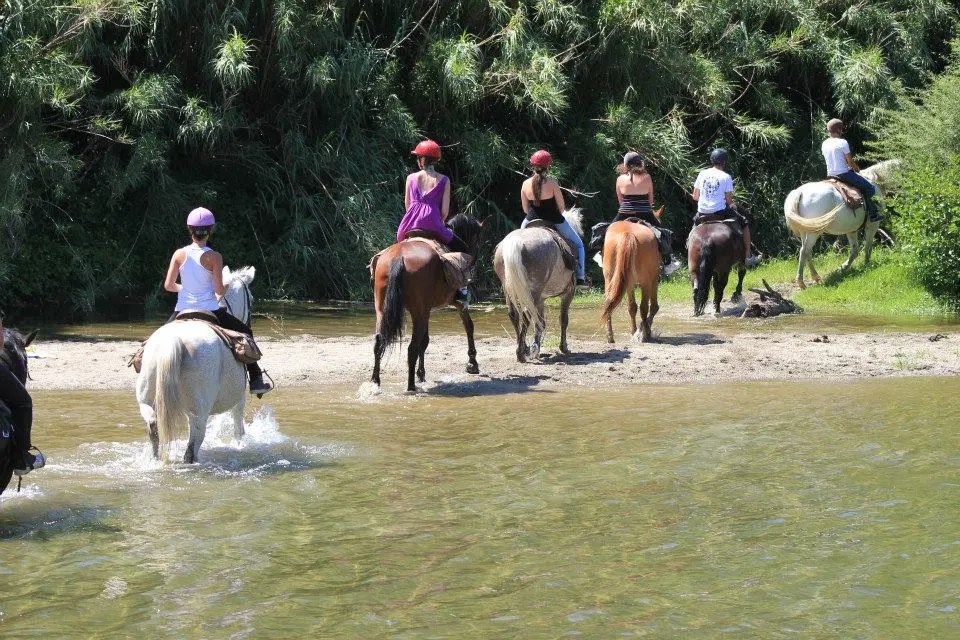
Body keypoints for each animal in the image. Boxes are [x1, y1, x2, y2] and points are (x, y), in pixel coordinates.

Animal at [137, 268, 255, 462]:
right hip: (199, 414)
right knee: (192, 448)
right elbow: (239, 429)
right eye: (251, 299)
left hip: (148, 402)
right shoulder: (239, 399)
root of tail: (173, 341)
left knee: (153, 428)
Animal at [780, 159, 900, 288]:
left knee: (807, 252)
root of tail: (799, 192)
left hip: (805, 232)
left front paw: (842, 268)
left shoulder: (851, 230)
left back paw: (815, 277)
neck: (874, 180)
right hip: (813, 233)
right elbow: (868, 247)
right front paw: (866, 264)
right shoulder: (872, 225)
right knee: (804, 251)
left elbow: (855, 250)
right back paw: (801, 282)